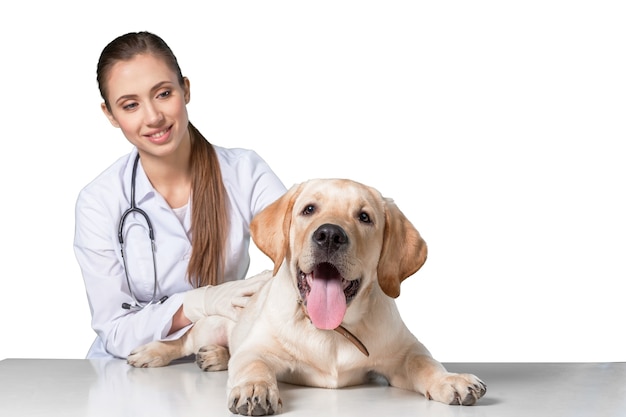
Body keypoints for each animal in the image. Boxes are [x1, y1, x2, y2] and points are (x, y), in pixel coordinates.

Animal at [129, 178, 486, 412]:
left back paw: (215, 356)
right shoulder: (258, 348)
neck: (333, 331)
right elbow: (252, 364)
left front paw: (451, 379)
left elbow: (424, 362)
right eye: (309, 209)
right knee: (183, 341)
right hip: (212, 323)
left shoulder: (402, 353)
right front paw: (255, 388)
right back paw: (152, 352)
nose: (329, 235)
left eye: (365, 217)